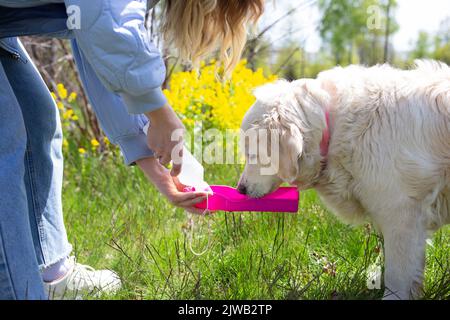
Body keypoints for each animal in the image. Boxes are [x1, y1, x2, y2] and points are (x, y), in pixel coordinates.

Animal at [237, 60, 448, 300]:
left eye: (251, 154)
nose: (240, 189)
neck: (335, 126)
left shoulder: (401, 215)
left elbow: (398, 273)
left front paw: (393, 296)